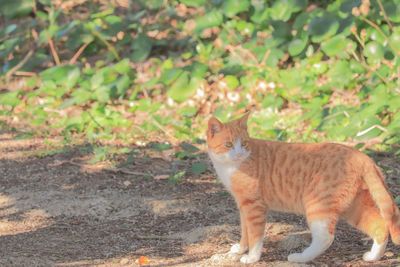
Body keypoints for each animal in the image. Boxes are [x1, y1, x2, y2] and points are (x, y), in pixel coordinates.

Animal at [206, 112, 400, 264]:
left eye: (244, 143)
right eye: (228, 145)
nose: (239, 153)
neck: (232, 165)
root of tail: (361, 156)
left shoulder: (254, 206)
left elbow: (255, 235)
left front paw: (252, 257)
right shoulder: (243, 206)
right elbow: (245, 232)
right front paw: (240, 250)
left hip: (317, 205)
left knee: (326, 238)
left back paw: (300, 257)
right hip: (354, 207)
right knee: (381, 226)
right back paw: (373, 257)